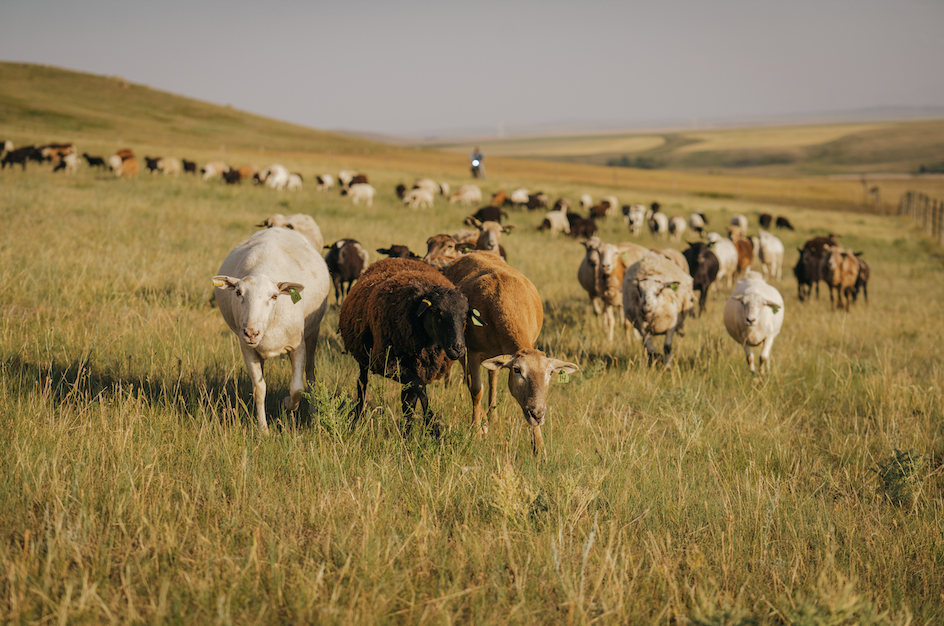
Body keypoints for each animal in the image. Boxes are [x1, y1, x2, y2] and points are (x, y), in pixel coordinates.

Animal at [212, 228, 330, 432]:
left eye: (274, 296)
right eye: (238, 293)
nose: (251, 333)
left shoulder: (297, 345)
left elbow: (297, 388)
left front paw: (286, 404)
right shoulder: (247, 348)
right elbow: (259, 389)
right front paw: (263, 430)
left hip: (313, 331)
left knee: (310, 373)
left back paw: (314, 412)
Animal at [338, 258, 468, 432]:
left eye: (465, 315)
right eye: (436, 311)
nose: (458, 349)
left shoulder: (420, 368)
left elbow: (410, 400)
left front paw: (408, 432)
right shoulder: (387, 364)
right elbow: (419, 387)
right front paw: (432, 426)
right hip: (364, 357)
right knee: (362, 384)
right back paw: (359, 417)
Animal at [442, 253, 579, 455]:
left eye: (549, 374)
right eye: (517, 370)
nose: (538, 414)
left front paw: (539, 447)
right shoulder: (473, 351)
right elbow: (476, 390)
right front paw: (476, 432)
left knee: (493, 376)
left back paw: (493, 416)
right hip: (460, 348)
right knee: (471, 380)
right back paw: (484, 421)